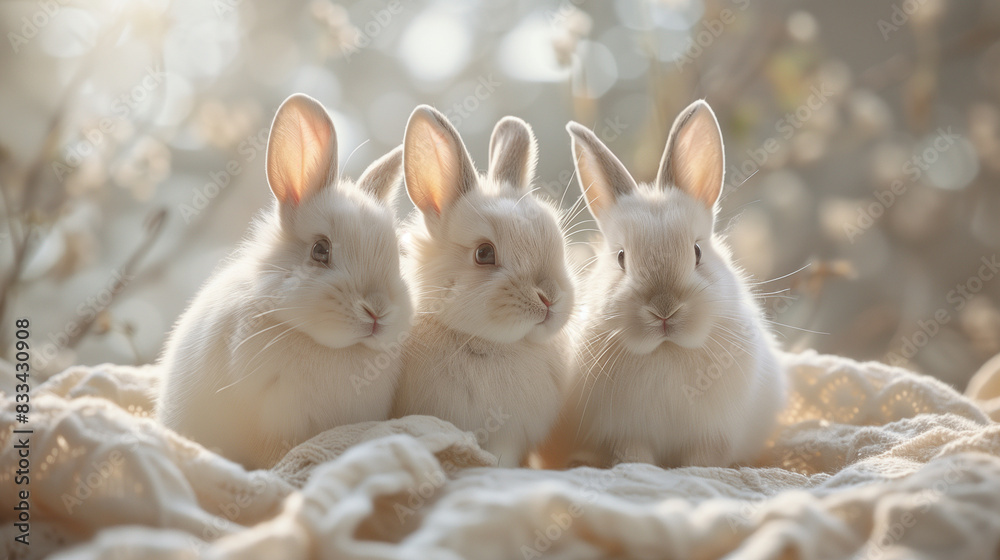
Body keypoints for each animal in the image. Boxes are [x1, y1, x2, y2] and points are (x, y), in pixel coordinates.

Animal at [539, 100, 785, 469]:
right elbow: (635, 456)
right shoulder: (625, 433)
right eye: (621, 258)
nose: (664, 309)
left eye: (697, 252)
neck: (666, 351)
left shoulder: (712, 437)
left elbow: (701, 461)